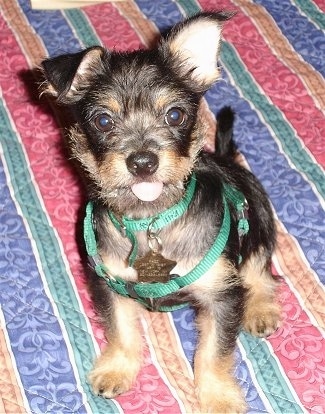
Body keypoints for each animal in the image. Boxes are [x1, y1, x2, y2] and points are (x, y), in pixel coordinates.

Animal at [39, 11, 278, 412]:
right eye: (103, 121)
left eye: (175, 115)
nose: (142, 161)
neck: (149, 220)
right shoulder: (108, 283)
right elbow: (120, 329)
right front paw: (117, 368)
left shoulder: (221, 296)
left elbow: (214, 352)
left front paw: (218, 396)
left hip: (258, 221)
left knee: (259, 270)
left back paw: (261, 309)